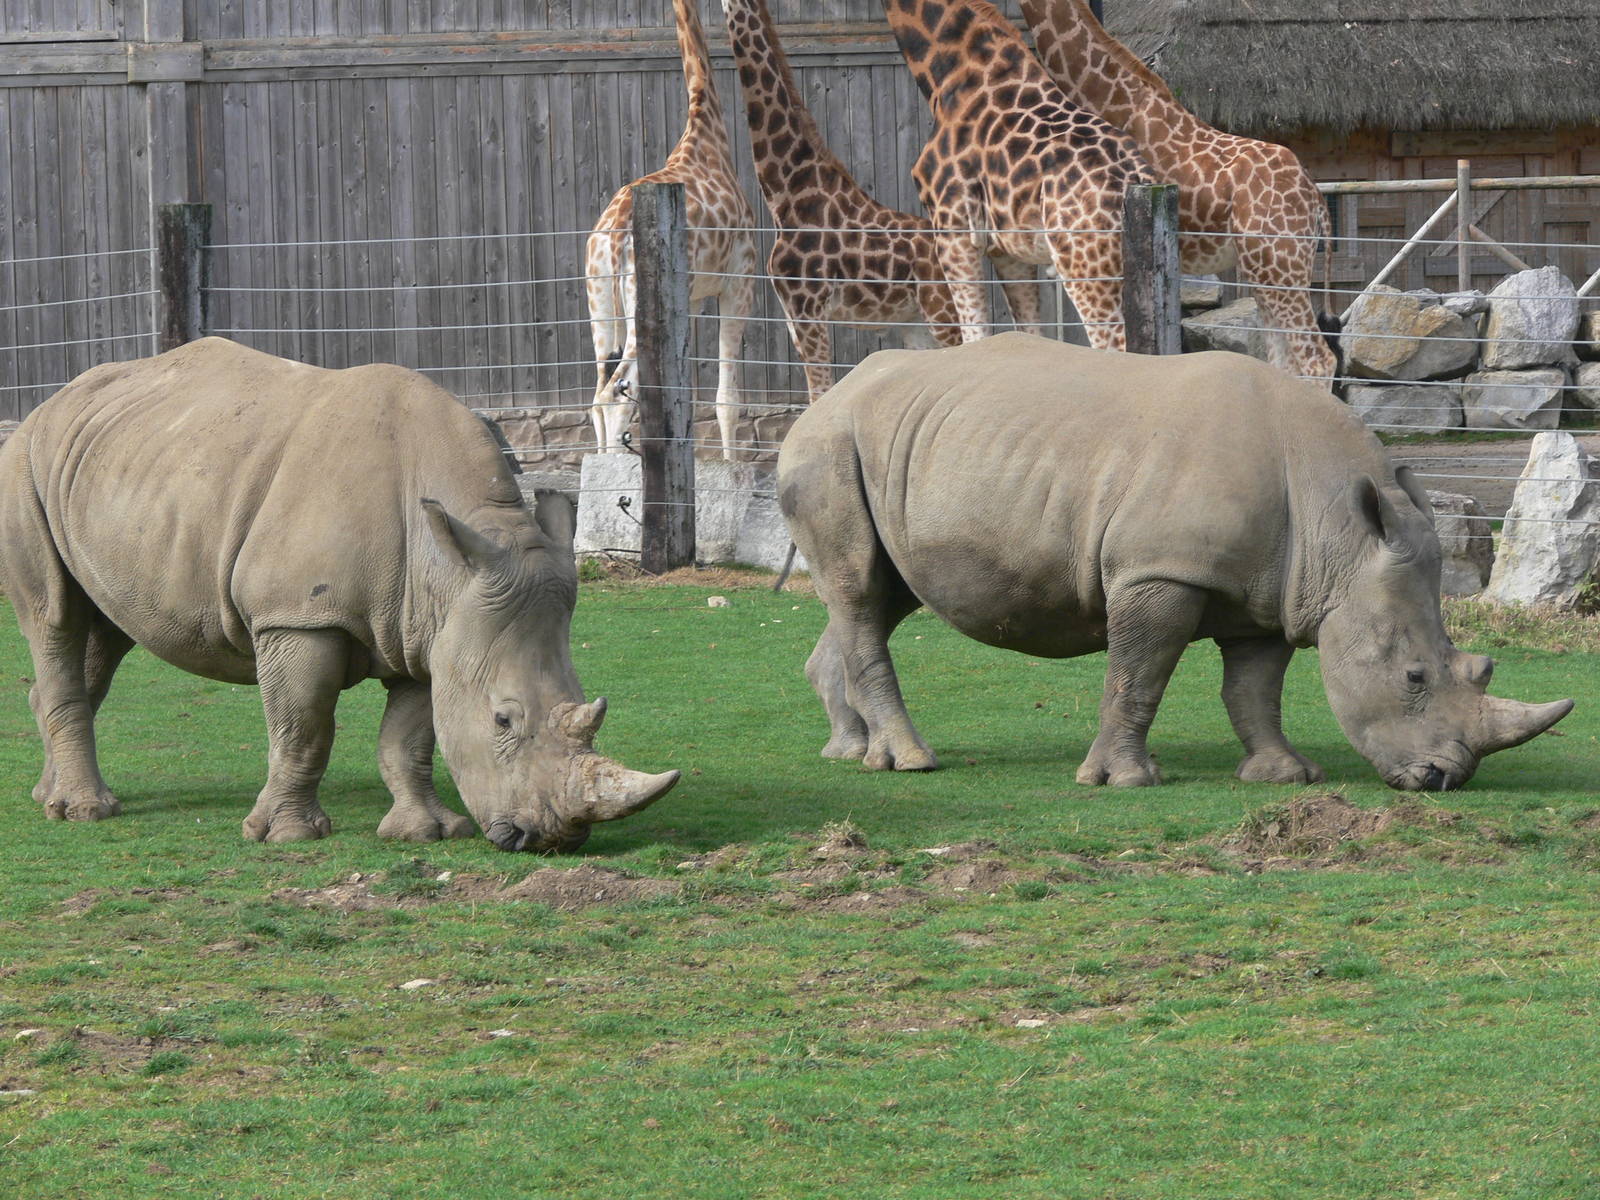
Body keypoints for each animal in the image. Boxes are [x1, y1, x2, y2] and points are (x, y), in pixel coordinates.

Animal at [0, 338, 678, 851]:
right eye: (502, 719)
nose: (550, 840)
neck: (452, 564)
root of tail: (51, 404)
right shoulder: (298, 616)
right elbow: (304, 726)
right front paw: (288, 837)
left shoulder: (429, 631)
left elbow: (410, 738)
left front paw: (425, 833)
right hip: (24, 464)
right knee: (55, 617)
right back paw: (88, 812)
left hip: (118, 472)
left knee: (104, 631)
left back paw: (50, 799)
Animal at [778, 333, 1571, 791]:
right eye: (1413, 677)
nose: (1445, 779)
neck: (1341, 534)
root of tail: (826, 394)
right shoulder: (1158, 570)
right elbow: (1140, 673)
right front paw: (1125, 781)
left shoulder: (1276, 591)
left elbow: (1254, 688)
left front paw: (1282, 776)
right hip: (829, 446)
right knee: (859, 591)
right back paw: (909, 761)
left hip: (897, 447)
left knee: (879, 595)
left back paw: (848, 751)